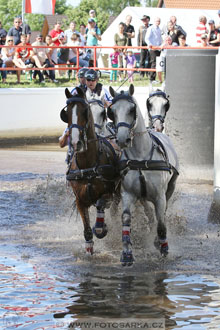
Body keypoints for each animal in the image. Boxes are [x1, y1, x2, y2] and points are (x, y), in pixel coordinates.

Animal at [59, 87, 118, 255]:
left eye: (85, 111)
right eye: (66, 113)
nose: (75, 142)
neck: (88, 165)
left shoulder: (109, 194)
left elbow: (100, 204)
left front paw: (101, 228)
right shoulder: (80, 200)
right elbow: (86, 229)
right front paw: (89, 248)